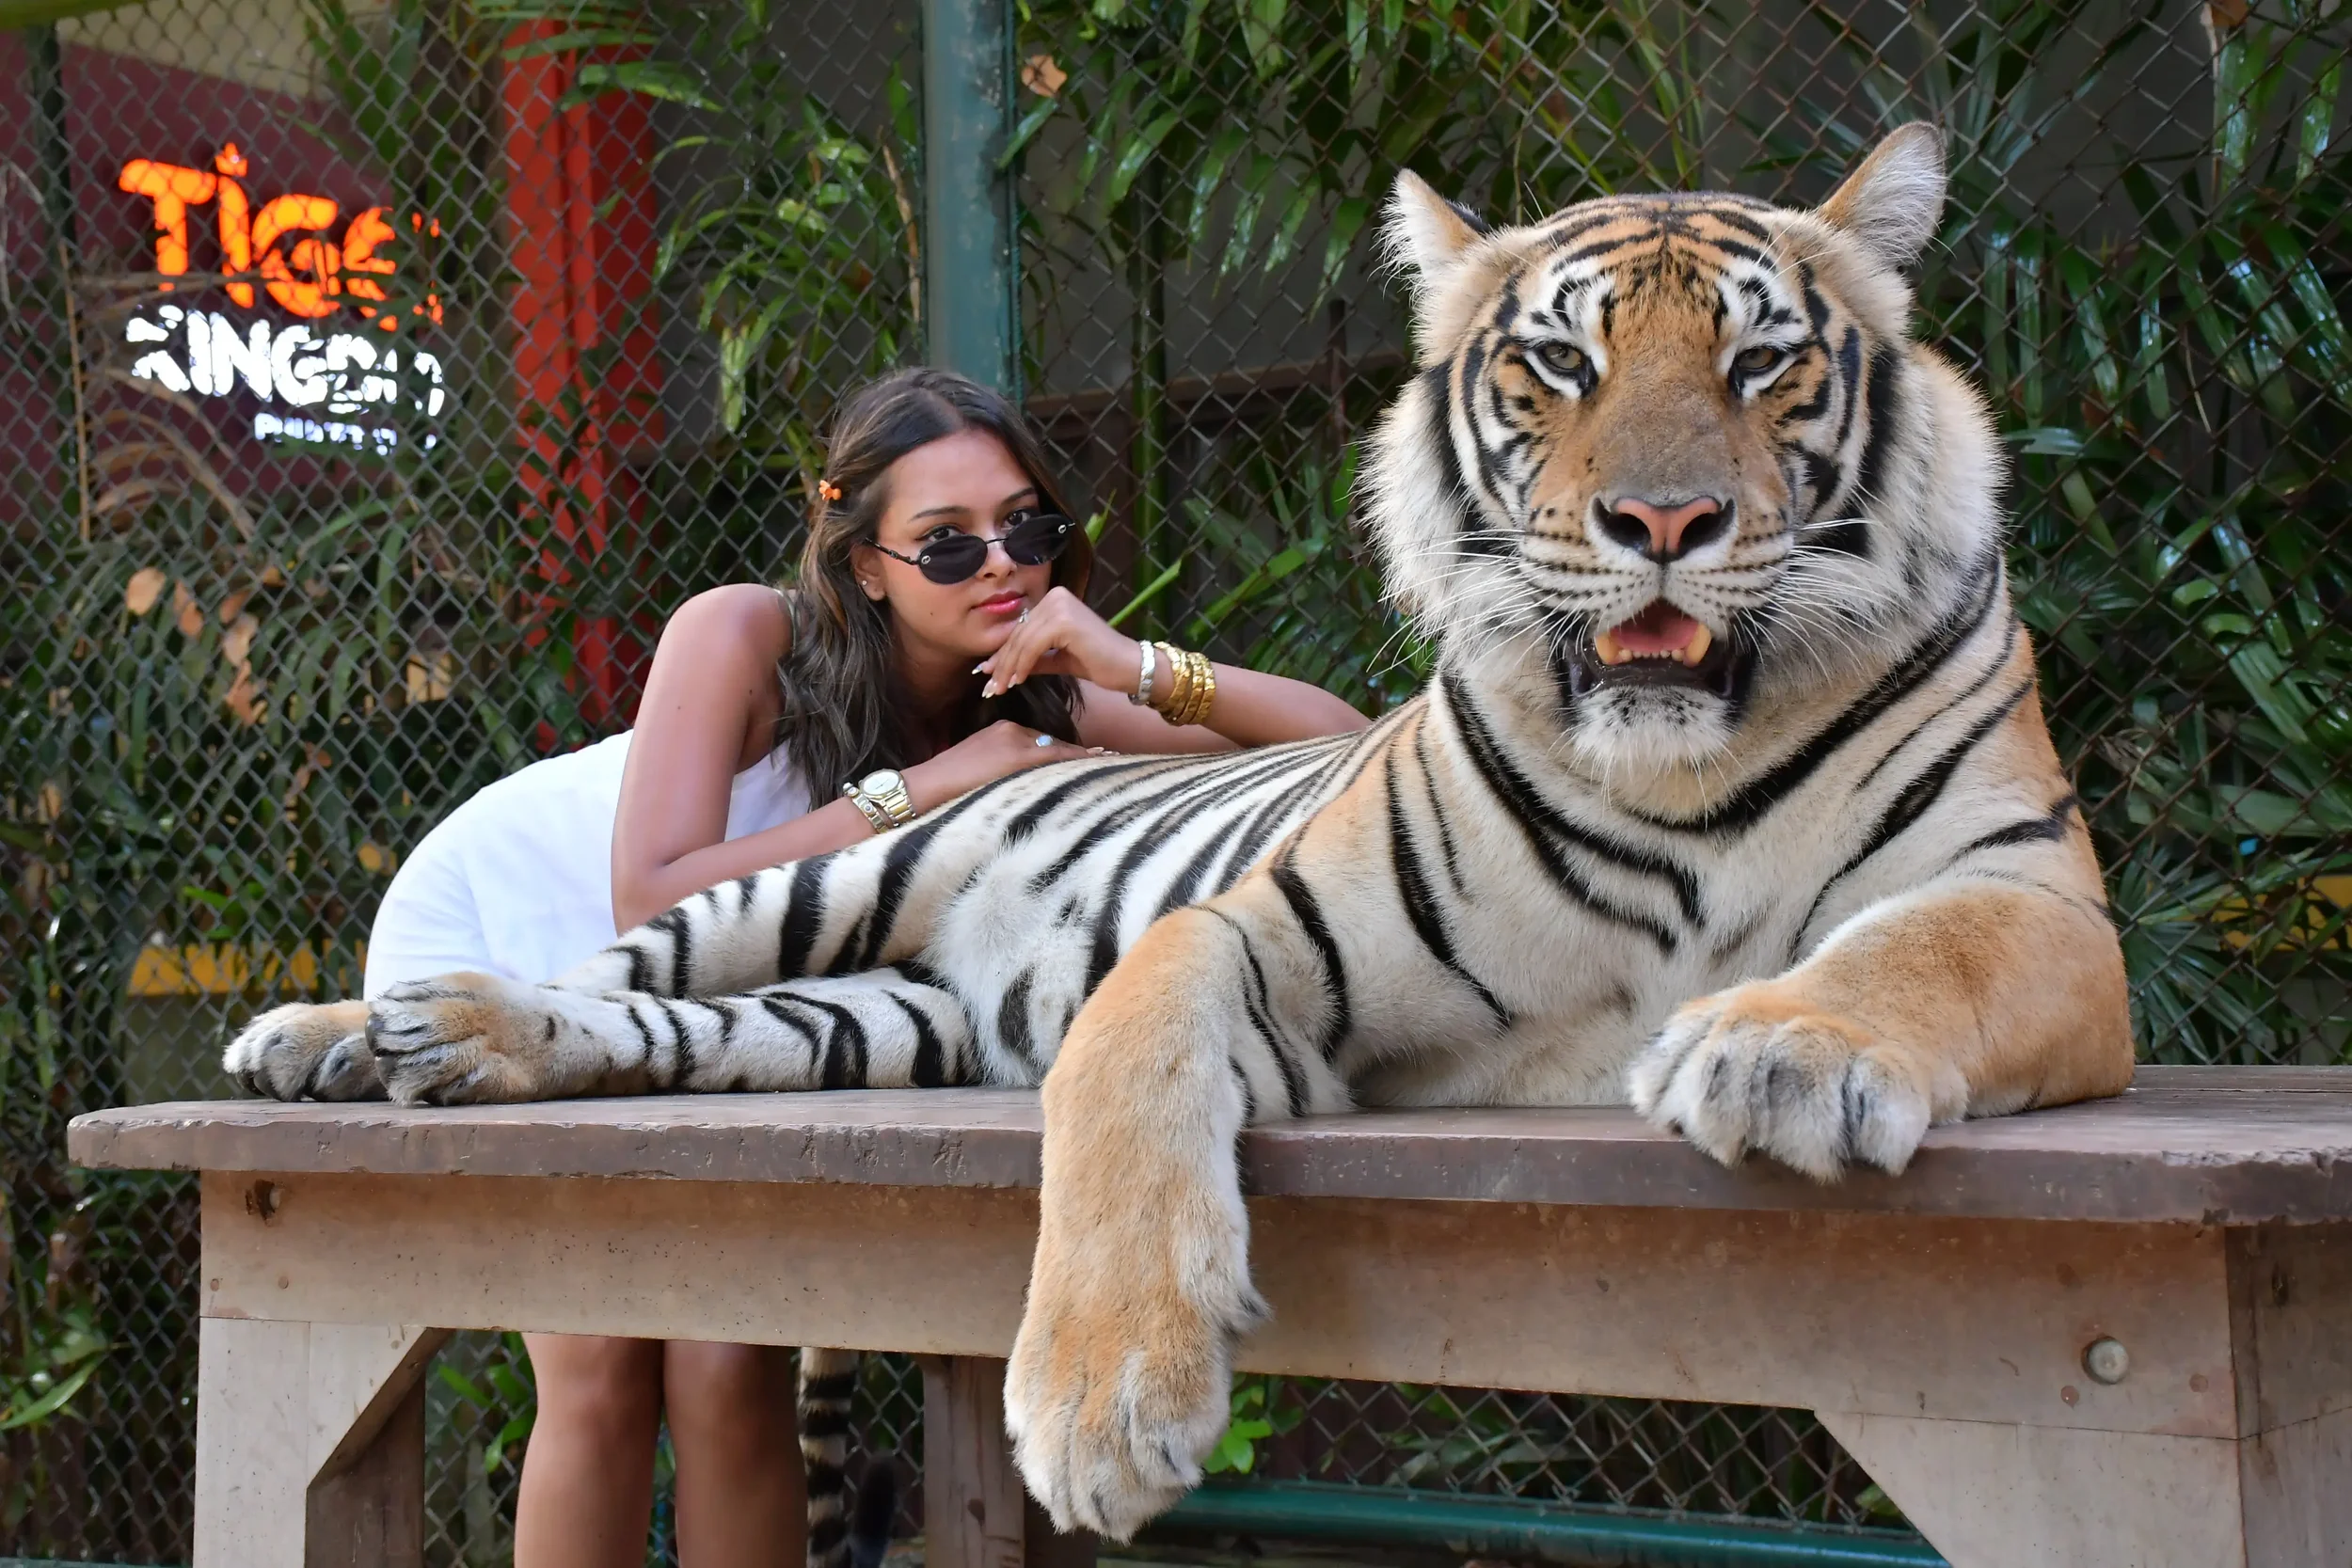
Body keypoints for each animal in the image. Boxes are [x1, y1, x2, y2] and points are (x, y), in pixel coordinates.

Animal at [223, 121, 2134, 1543]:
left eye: (1761, 362)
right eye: (1558, 364)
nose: (1664, 520)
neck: (1679, 760)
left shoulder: (2041, 900)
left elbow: (1921, 947)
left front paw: (1781, 1049)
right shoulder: (1259, 927)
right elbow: (1126, 1063)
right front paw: (1103, 1399)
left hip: (862, 1020)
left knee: (663, 1032)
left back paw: (430, 1045)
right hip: (817, 883)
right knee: (606, 960)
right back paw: (347, 1029)